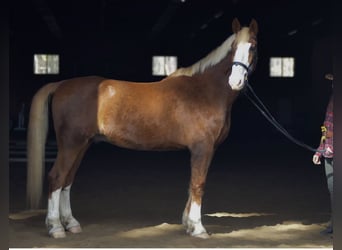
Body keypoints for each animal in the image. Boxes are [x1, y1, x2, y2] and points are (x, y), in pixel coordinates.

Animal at [26, 19, 256, 238]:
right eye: (233, 47)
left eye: (253, 46)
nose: (236, 81)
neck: (203, 91)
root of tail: (61, 84)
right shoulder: (202, 148)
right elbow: (198, 184)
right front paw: (198, 228)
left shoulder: (205, 150)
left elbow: (192, 184)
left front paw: (188, 224)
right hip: (71, 144)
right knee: (57, 177)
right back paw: (55, 227)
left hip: (82, 145)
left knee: (67, 180)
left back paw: (71, 224)